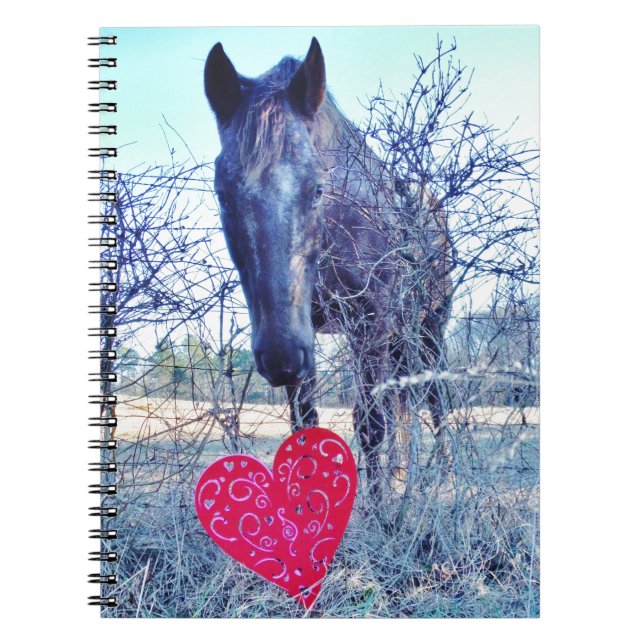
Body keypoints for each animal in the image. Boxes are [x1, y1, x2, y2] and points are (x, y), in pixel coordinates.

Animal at [204, 38, 452, 496]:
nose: (279, 355)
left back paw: (446, 478)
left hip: (429, 330)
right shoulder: (305, 340)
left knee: (434, 398)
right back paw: (402, 476)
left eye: (318, 188)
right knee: (404, 406)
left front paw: (379, 512)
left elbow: (371, 425)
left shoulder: (369, 324)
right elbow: (305, 428)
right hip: (400, 337)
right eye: (223, 194)